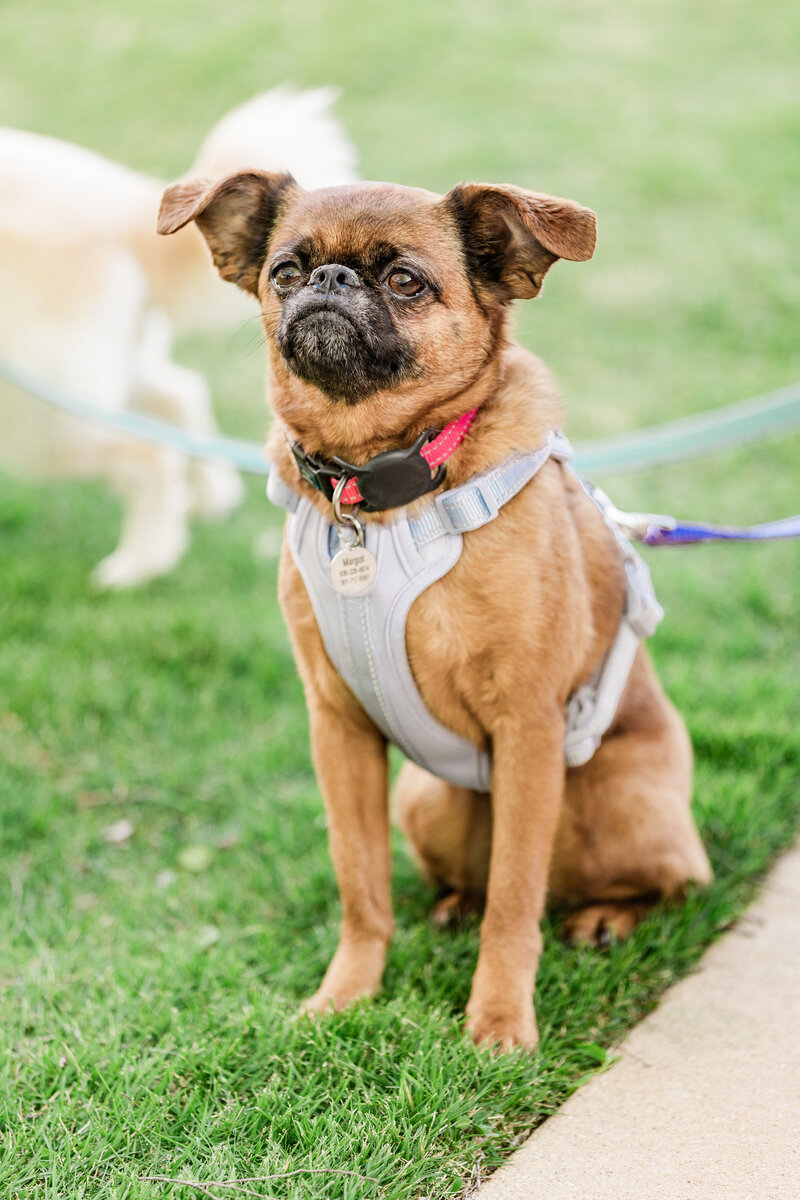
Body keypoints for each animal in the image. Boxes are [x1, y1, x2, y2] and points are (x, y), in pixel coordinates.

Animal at [0, 87, 357, 585]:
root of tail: (121, 211)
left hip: (40, 416)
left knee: (151, 453)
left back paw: (139, 565)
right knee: (182, 394)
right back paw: (209, 497)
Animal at [158, 169, 714, 1051]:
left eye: (405, 281)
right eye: (285, 271)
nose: (329, 280)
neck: (378, 495)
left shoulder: (528, 730)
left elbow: (515, 901)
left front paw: (500, 1021)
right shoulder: (339, 732)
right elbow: (362, 886)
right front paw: (345, 996)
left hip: (613, 803)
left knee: (665, 883)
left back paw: (606, 919)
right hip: (425, 799)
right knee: (474, 881)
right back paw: (454, 905)